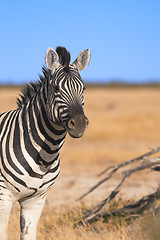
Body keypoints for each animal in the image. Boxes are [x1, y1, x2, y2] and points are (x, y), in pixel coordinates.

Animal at [0, 46, 90, 239]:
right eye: (56, 88)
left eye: (84, 88)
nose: (79, 124)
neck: (44, 155)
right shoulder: (3, 196)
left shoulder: (36, 200)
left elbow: (28, 233)